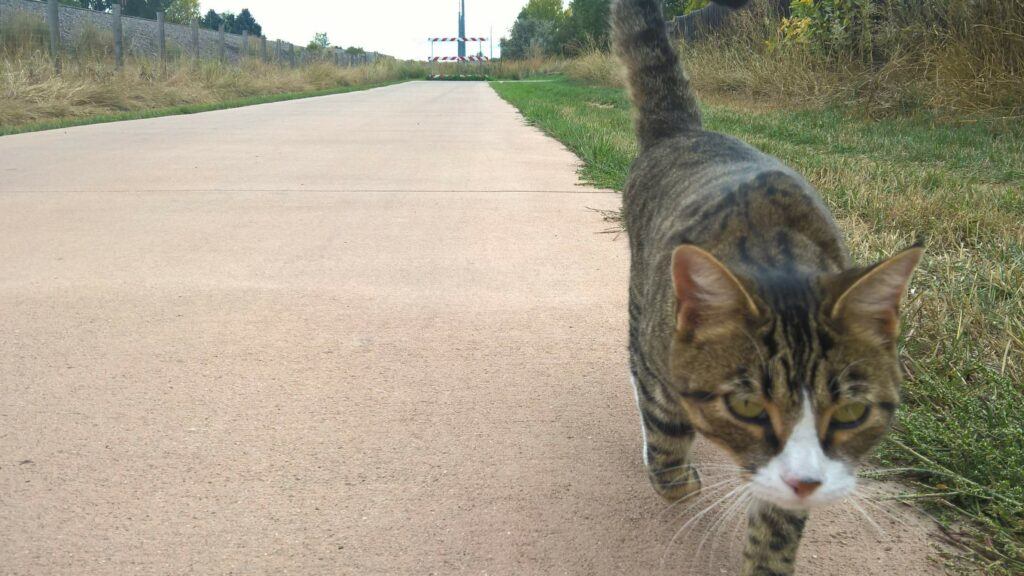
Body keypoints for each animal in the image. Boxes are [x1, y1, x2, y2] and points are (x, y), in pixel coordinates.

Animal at [610, 2, 925, 569]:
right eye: (747, 407)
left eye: (852, 413)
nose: (806, 482)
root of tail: (684, 132)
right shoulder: (658, 363)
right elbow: (666, 439)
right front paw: (677, 480)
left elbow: (776, 527)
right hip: (639, 293)